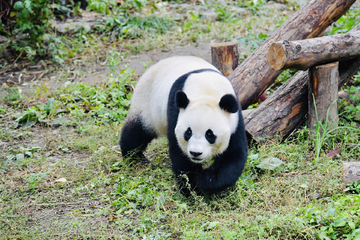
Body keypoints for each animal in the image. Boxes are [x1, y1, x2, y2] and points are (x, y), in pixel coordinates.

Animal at [120, 56, 248, 197]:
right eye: (188, 132)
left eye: (209, 134)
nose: (195, 153)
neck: (207, 91)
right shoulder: (176, 110)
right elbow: (180, 156)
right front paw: (191, 187)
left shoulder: (234, 121)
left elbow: (232, 155)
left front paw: (205, 180)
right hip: (147, 103)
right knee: (137, 132)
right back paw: (135, 157)